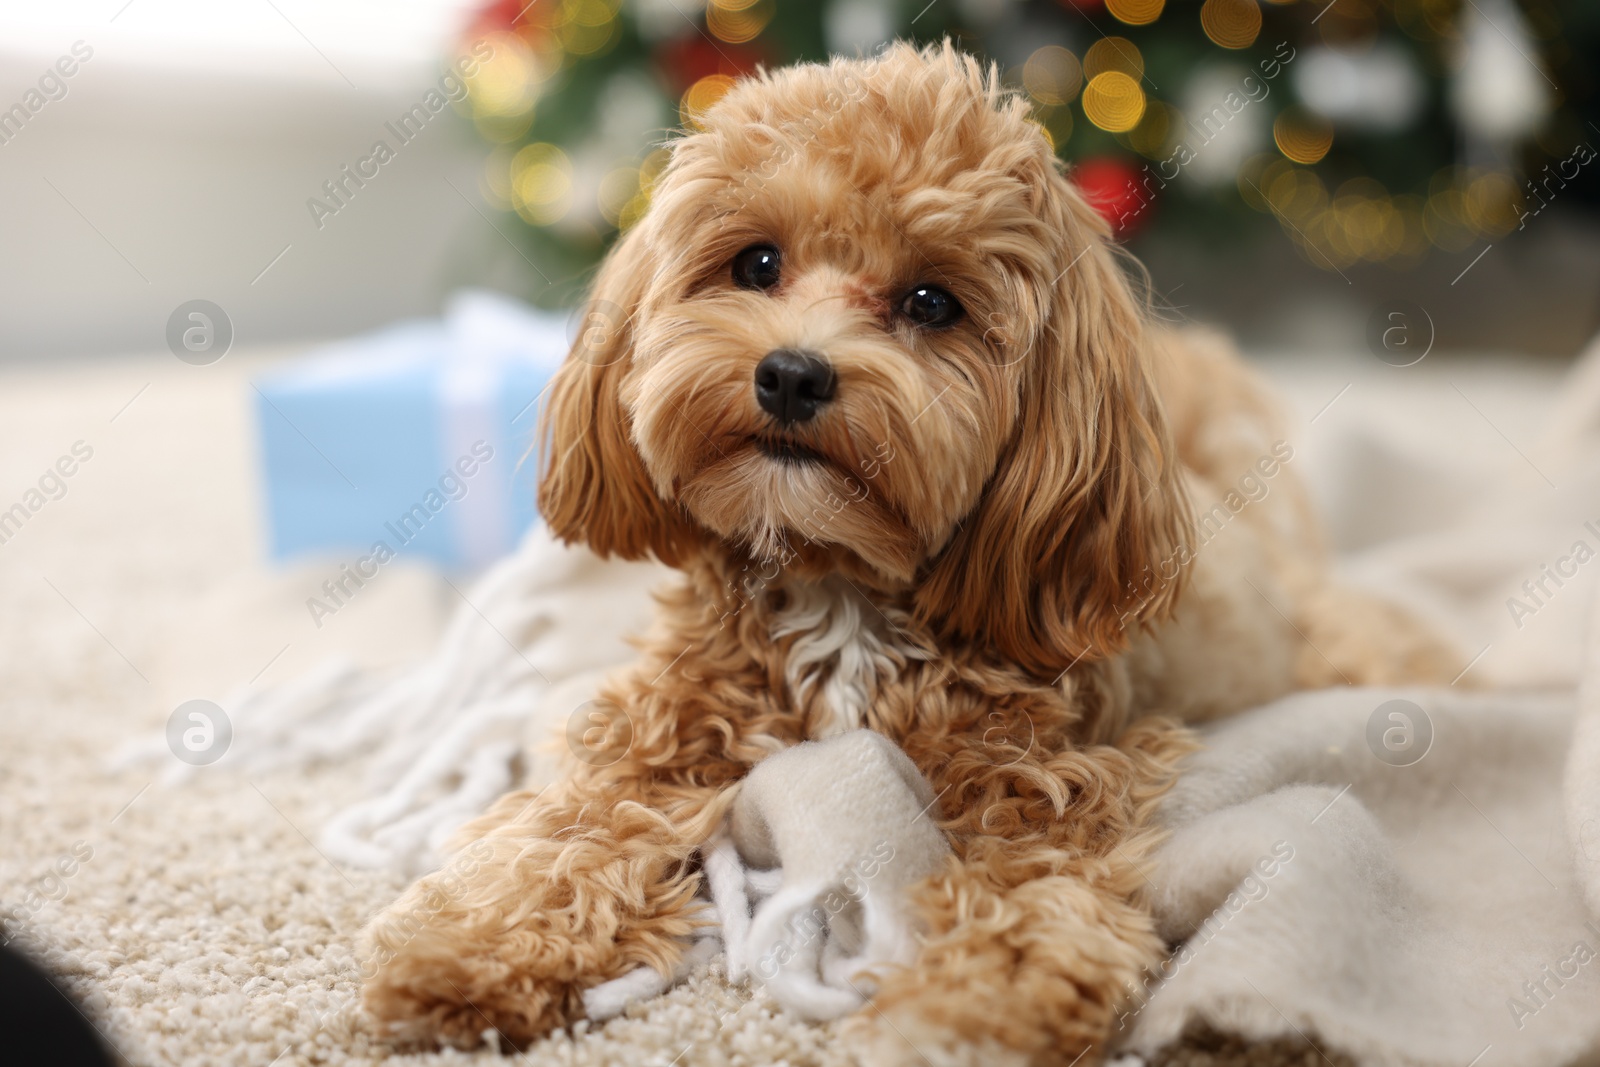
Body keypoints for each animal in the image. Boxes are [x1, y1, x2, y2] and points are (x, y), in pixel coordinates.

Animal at [363, 43, 1465, 1067]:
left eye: (933, 302)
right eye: (756, 264)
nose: (792, 374)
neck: (840, 587)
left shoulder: (1049, 787)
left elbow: (1032, 907)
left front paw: (962, 1013)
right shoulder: (660, 737)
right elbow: (566, 833)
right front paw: (471, 951)